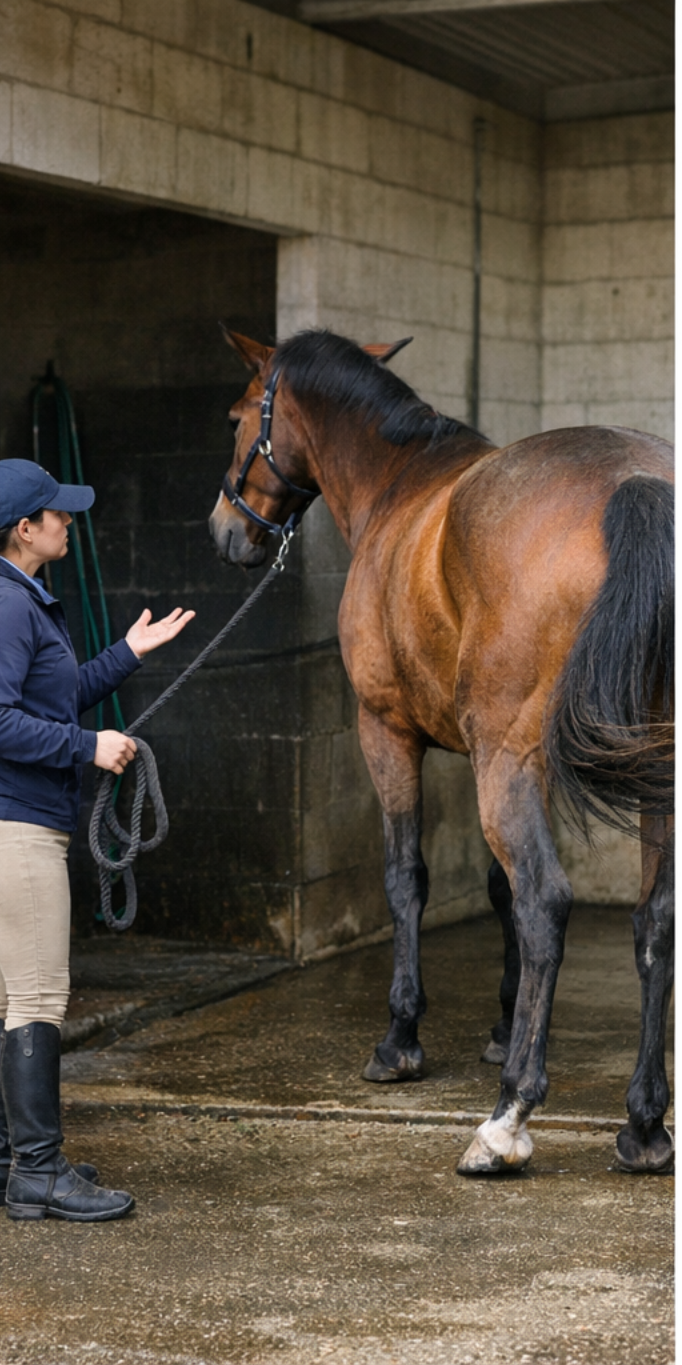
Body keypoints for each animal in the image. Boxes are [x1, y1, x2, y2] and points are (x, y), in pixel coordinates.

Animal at [209, 327, 674, 1177]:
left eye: (235, 416)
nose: (229, 532)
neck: (400, 486)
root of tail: (637, 482)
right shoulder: (487, 753)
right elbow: (495, 888)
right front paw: (500, 1024)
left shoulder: (390, 731)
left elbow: (408, 878)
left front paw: (401, 1037)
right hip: (642, 769)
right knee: (653, 918)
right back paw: (644, 1123)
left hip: (506, 760)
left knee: (547, 900)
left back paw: (508, 1118)